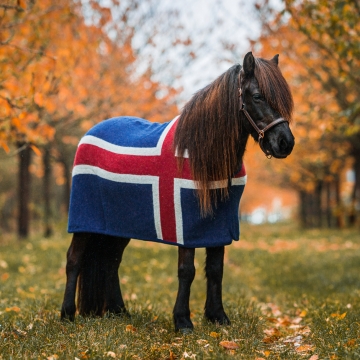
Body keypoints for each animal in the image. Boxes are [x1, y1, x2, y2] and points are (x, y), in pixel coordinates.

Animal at [59, 51, 296, 332]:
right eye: (258, 96)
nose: (285, 143)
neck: (202, 153)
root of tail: (89, 134)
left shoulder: (218, 227)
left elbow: (215, 269)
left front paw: (218, 317)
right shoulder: (186, 228)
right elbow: (187, 270)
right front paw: (183, 321)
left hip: (117, 226)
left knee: (111, 261)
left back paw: (119, 312)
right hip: (85, 221)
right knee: (74, 259)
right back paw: (67, 315)